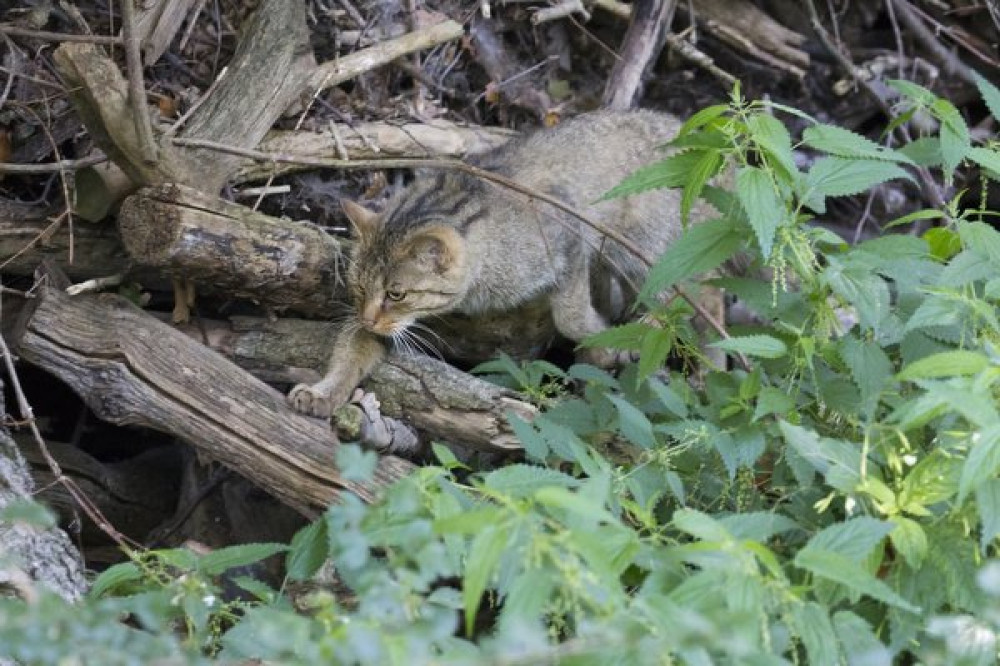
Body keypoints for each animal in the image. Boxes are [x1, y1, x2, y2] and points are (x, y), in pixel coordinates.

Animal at [290, 111, 720, 418]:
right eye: (360, 288)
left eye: (397, 294)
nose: (368, 317)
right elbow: (350, 351)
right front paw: (324, 392)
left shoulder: (569, 237)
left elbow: (571, 317)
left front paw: (602, 340)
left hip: (648, 251)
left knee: (704, 295)